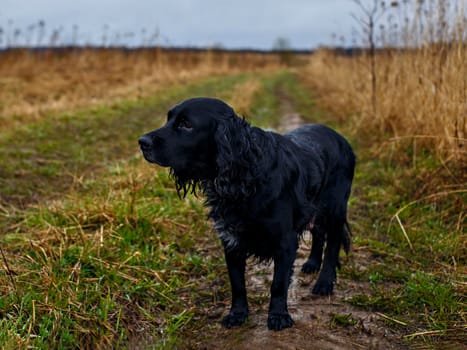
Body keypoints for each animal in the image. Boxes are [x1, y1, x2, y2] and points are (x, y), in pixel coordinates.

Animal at [139, 97, 358, 330]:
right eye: (168, 119)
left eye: (186, 124)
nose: (142, 141)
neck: (246, 176)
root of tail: (340, 137)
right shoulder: (232, 240)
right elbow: (237, 284)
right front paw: (237, 314)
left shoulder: (285, 241)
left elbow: (278, 284)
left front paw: (279, 316)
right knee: (318, 233)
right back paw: (312, 264)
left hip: (335, 207)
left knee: (332, 243)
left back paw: (324, 282)